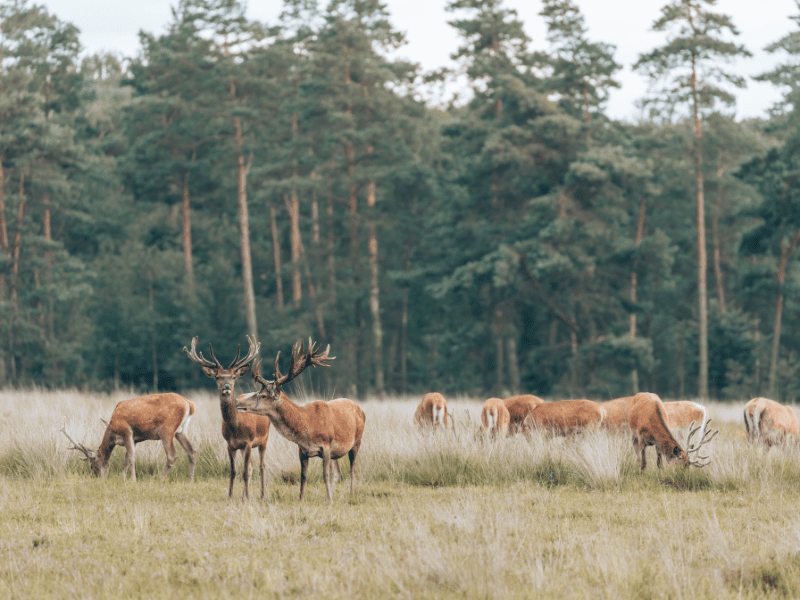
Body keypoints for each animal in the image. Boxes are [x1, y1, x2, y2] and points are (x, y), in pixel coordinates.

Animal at [60, 394, 196, 482]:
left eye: (92, 465)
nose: (99, 477)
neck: (112, 429)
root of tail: (189, 404)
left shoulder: (127, 431)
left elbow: (130, 457)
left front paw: (133, 480)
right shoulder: (134, 439)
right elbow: (126, 458)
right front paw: (123, 477)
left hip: (166, 429)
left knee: (172, 455)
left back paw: (159, 479)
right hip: (181, 431)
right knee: (192, 451)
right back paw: (190, 480)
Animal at [183, 336, 270, 500]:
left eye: (233, 377)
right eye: (217, 377)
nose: (227, 387)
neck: (236, 427)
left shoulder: (248, 441)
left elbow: (245, 472)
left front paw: (246, 498)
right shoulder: (230, 444)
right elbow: (234, 471)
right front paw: (231, 495)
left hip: (264, 439)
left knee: (261, 466)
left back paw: (262, 494)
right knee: (251, 466)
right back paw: (244, 495)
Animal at [236, 340, 364, 504]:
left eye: (263, 395)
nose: (238, 403)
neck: (307, 427)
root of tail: (360, 409)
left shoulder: (326, 445)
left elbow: (325, 475)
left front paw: (329, 500)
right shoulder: (302, 450)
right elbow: (303, 476)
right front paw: (301, 498)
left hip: (357, 441)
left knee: (352, 468)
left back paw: (351, 493)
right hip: (337, 452)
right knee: (338, 472)